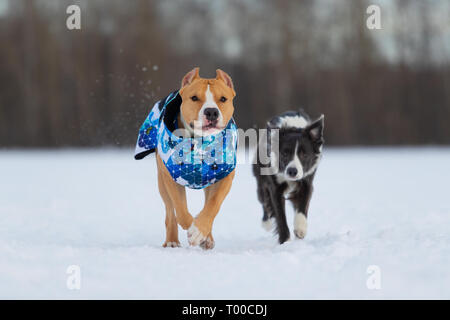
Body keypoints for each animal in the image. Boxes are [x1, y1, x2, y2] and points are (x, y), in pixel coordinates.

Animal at [156, 67, 236, 249]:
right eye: (194, 98)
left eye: (223, 99)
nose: (211, 111)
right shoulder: (171, 176)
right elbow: (180, 209)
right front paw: (194, 229)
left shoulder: (224, 176)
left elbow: (213, 205)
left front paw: (201, 231)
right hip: (161, 181)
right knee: (170, 211)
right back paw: (172, 241)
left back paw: (207, 236)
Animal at [253, 111, 324, 244]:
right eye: (285, 153)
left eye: (304, 154)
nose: (292, 171)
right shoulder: (274, 187)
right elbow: (280, 215)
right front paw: (285, 241)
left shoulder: (307, 181)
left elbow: (303, 206)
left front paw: (300, 229)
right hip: (260, 179)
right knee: (264, 200)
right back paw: (266, 223)